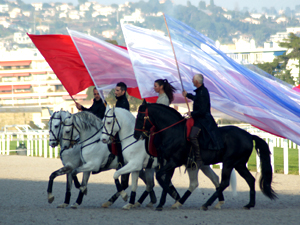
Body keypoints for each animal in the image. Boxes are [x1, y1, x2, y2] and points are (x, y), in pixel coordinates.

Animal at [100, 106, 234, 210]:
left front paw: (124, 196)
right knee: (212, 179)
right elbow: (134, 185)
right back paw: (217, 202)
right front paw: (130, 203)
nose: (103, 139)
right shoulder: (136, 167)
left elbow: (116, 175)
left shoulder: (134, 164)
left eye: (108, 122)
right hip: (199, 165)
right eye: (102, 122)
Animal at [134, 102, 276, 211]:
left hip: (229, 162)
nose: (136, 135)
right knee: (250, 180)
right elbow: (165, 180)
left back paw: (207, 204)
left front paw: (174, 197)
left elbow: (160, 178)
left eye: (140, 117)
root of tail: (248, 135)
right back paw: (249, 204)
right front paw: (164, 202)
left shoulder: (174, 162)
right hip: (239, 164)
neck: (174, 131)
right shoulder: (171, 163)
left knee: (224, 182)